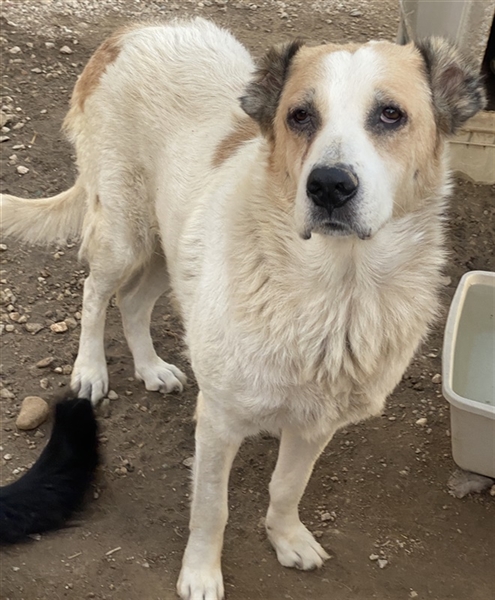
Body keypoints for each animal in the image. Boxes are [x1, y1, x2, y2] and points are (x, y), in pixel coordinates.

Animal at [1, 18, 485, 599]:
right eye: (300, 116)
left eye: (391, 114)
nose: (328, 186)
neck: (336, 290)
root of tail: (139, 27)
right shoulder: (219, 421)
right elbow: (212, 509)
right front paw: (201, 574)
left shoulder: (317, 426)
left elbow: (288, 486)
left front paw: (287, 538)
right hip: (124, 232)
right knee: (96, 293)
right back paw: (91, 370)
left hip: (170, 246)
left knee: (133, 301)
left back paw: (151, 368)